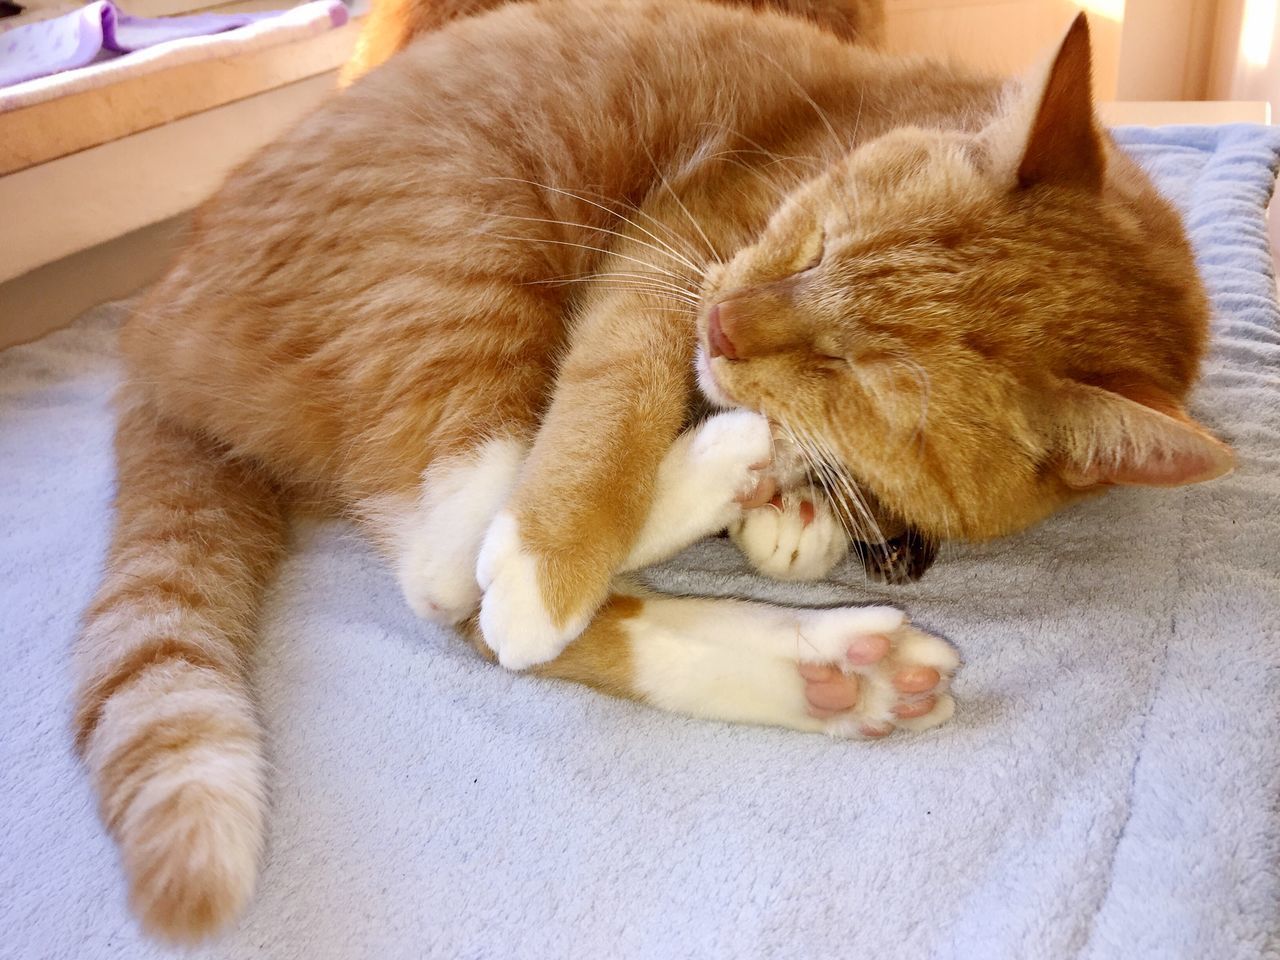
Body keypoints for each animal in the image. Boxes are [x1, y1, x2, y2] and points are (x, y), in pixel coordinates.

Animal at [70, 0, 1228, 947]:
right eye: (817, 240)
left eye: (855, 373)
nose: (725, 328)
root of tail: (152, 323)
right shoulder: (675, 243)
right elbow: (613, 393)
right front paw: (586, 538)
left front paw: (806, 501)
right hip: (462, 245)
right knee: (455, 561)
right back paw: (703, 482)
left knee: (462, 591)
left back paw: (828, 666)